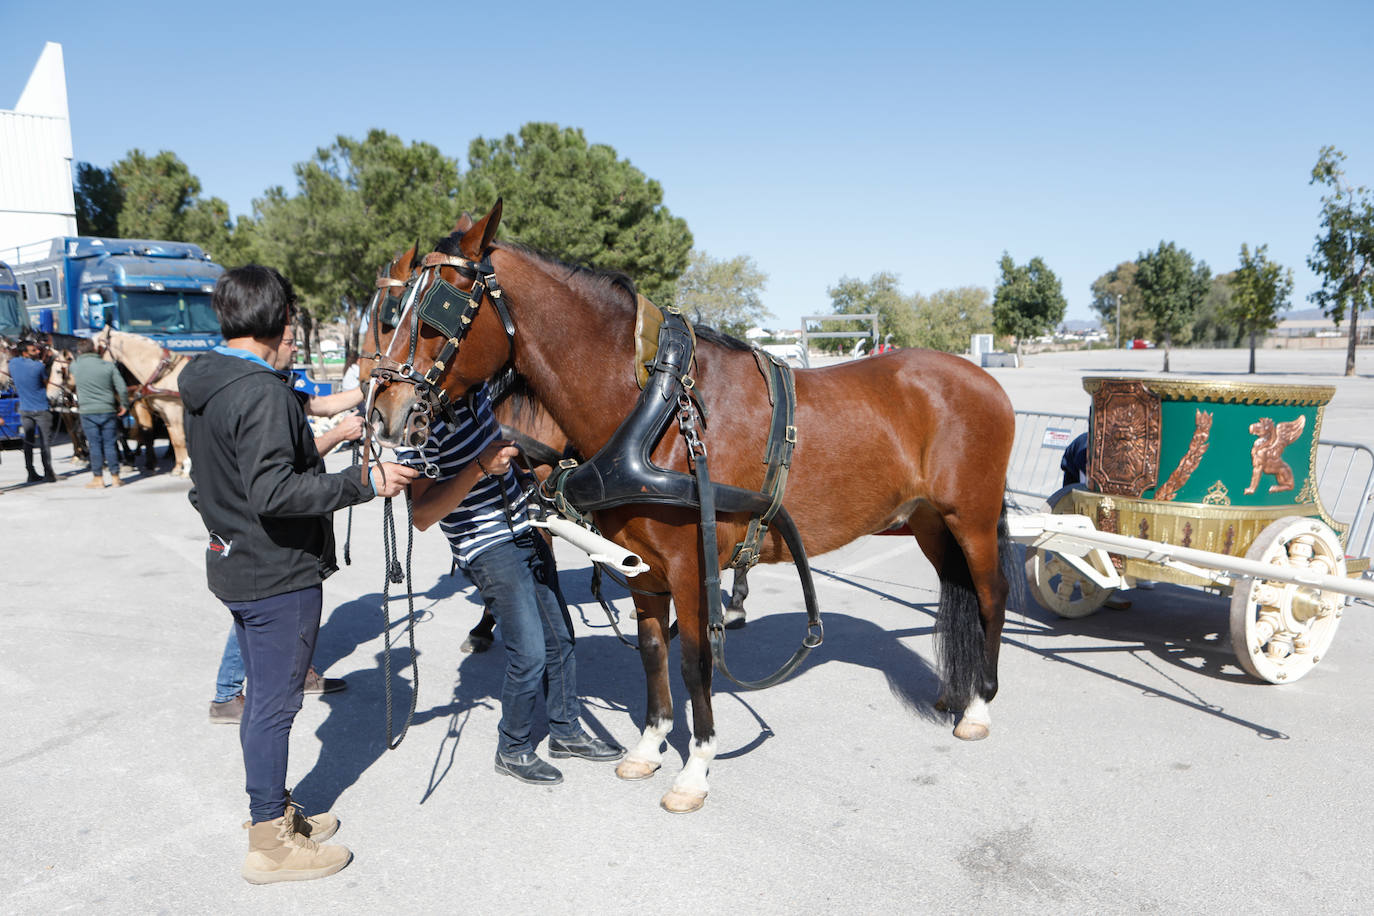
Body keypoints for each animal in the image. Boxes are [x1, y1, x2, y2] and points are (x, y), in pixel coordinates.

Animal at [97, 328, 191, 477]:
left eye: (98, 348)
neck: (162, 372)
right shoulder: (165, 413)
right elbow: (174, 439)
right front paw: (177, 468)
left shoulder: (173, 410)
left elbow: (179, 439)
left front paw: (186, 470)